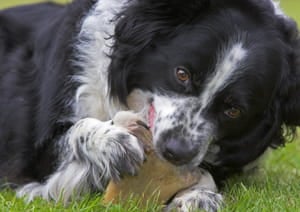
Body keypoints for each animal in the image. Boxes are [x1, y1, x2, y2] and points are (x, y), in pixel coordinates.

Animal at [0, 0, 300, 211]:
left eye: (234, 110)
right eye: (182, 74)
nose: (175, 152)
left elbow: (205, 172)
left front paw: (199, 196)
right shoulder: (33, 159)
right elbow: (76, 133)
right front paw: (111, 143)